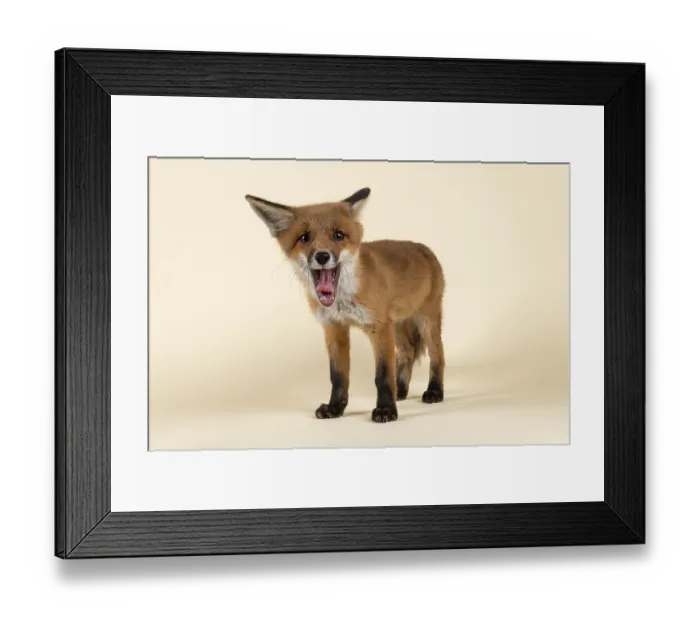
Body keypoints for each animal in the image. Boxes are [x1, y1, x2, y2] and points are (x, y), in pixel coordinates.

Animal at [245, 187, 445, 423]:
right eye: (304, 237)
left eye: (338, 235)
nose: (322, 256)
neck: (343, 299)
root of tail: (425, 249)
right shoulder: (334, 328)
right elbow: (338, 376)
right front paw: (335, 408)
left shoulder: (379, 327)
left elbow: (383, 375)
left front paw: (386, 409)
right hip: (398, 325)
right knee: (408, 352)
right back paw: (401, 390)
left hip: (426, 321)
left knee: (437, 355)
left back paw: (435, 391)